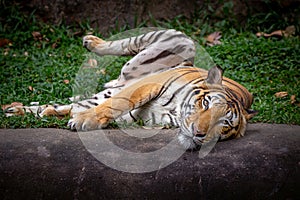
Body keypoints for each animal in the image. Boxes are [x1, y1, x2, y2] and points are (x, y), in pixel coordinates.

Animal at [4, 28, 255, 149]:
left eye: (223, 124)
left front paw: (82, 118)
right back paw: (91, 41)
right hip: (179, 40)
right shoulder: (148, 85)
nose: (199, 133)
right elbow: (117, 104)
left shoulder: (142, 116)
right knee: (123, 44)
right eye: (205, 103)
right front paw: (85, 121)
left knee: (63, 105)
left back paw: (16, 110)